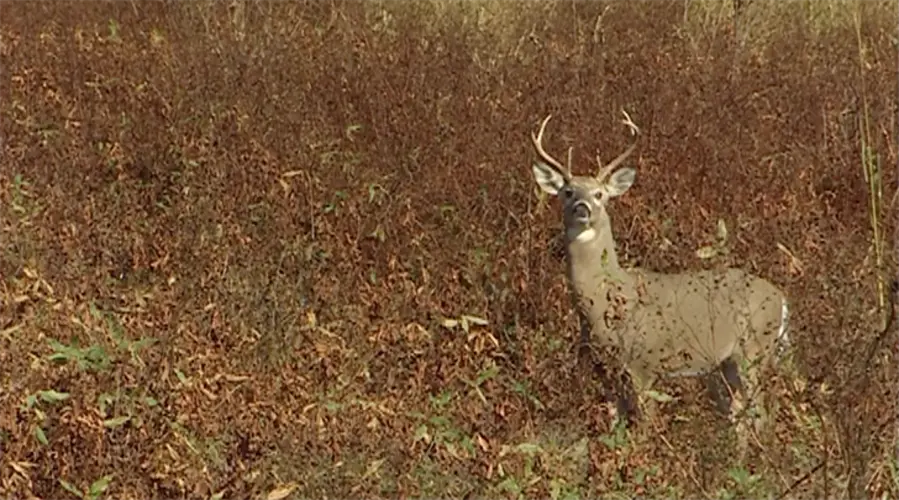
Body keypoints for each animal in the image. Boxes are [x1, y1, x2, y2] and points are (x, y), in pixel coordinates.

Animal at [529, 111, 791, 451]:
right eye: (567, 191)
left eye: (600, 194)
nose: (582, 208)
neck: (605, 306)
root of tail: (781, 299)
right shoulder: (603, 371)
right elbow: (615, 430)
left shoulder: (644, 363)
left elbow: (645, 428)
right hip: (729, 362)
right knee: (740, 417)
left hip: (755, 349)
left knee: (759, 415)